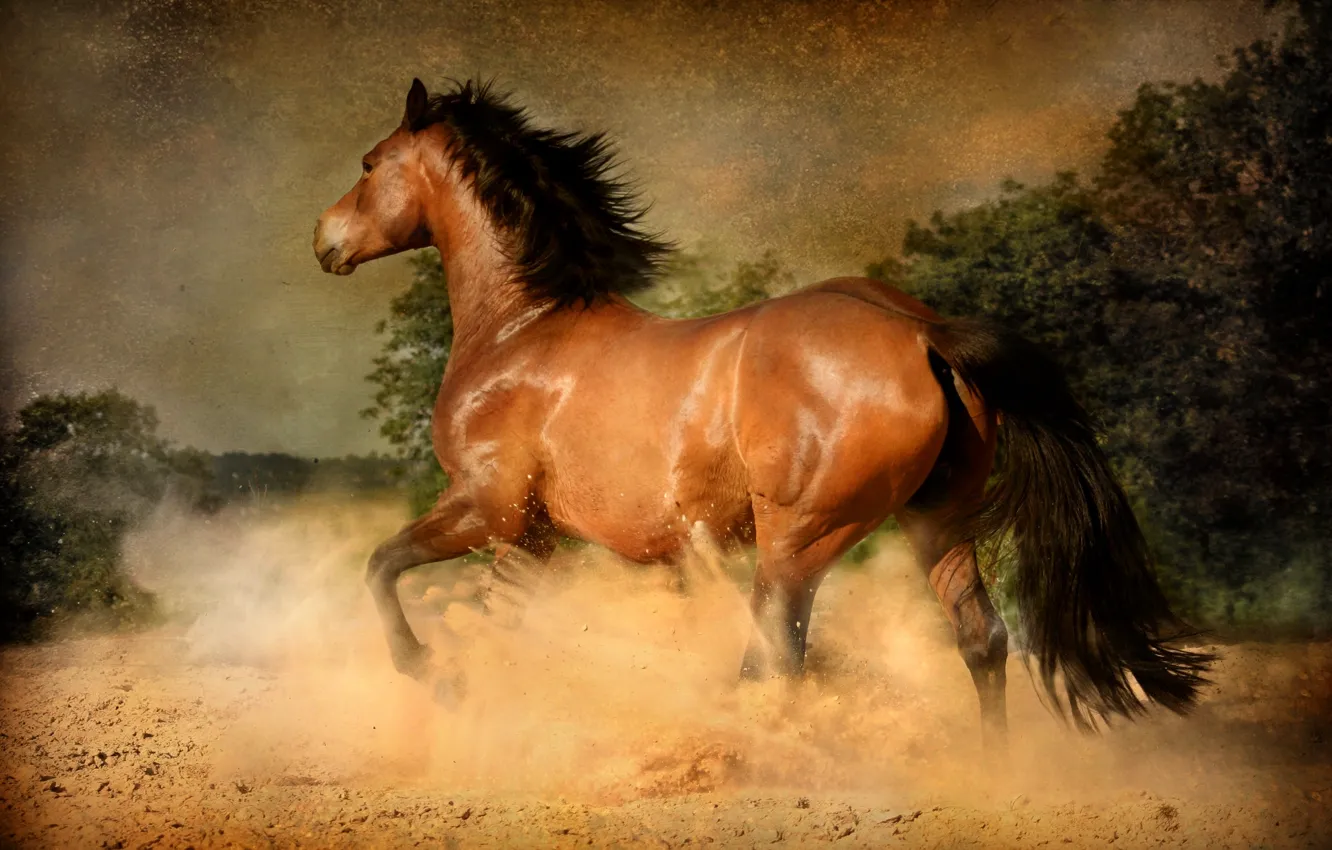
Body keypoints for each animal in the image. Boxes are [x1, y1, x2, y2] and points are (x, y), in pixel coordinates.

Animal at [313, 78, 1212, 746]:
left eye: (371, 161)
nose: (325, 240)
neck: (523, 328)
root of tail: (919, 331)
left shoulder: (486, 507)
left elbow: (382, 567)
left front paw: (429, 673)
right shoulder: (530, 537)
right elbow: (500, 622)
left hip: (800, 537)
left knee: (774, 656)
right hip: (936, 520)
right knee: (982, 641)